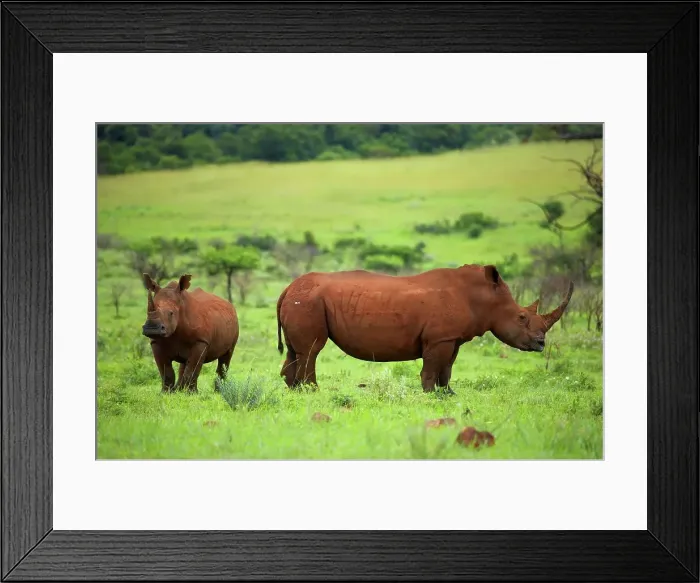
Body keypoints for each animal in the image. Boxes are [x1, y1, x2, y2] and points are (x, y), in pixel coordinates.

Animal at [275, 264, 573, 393]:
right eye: (522, 317)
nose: (541, 344)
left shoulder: (452, 338)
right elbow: (431, 368)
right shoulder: (439, 338)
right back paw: (313, 391)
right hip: (309, 301)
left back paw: (294, 392)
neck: (483, 298)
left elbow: (447, 368)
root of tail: (287, 288)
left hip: (303, 300)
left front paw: (448, 395)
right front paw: (429, 395)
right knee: (312, 350)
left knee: (295, 351)